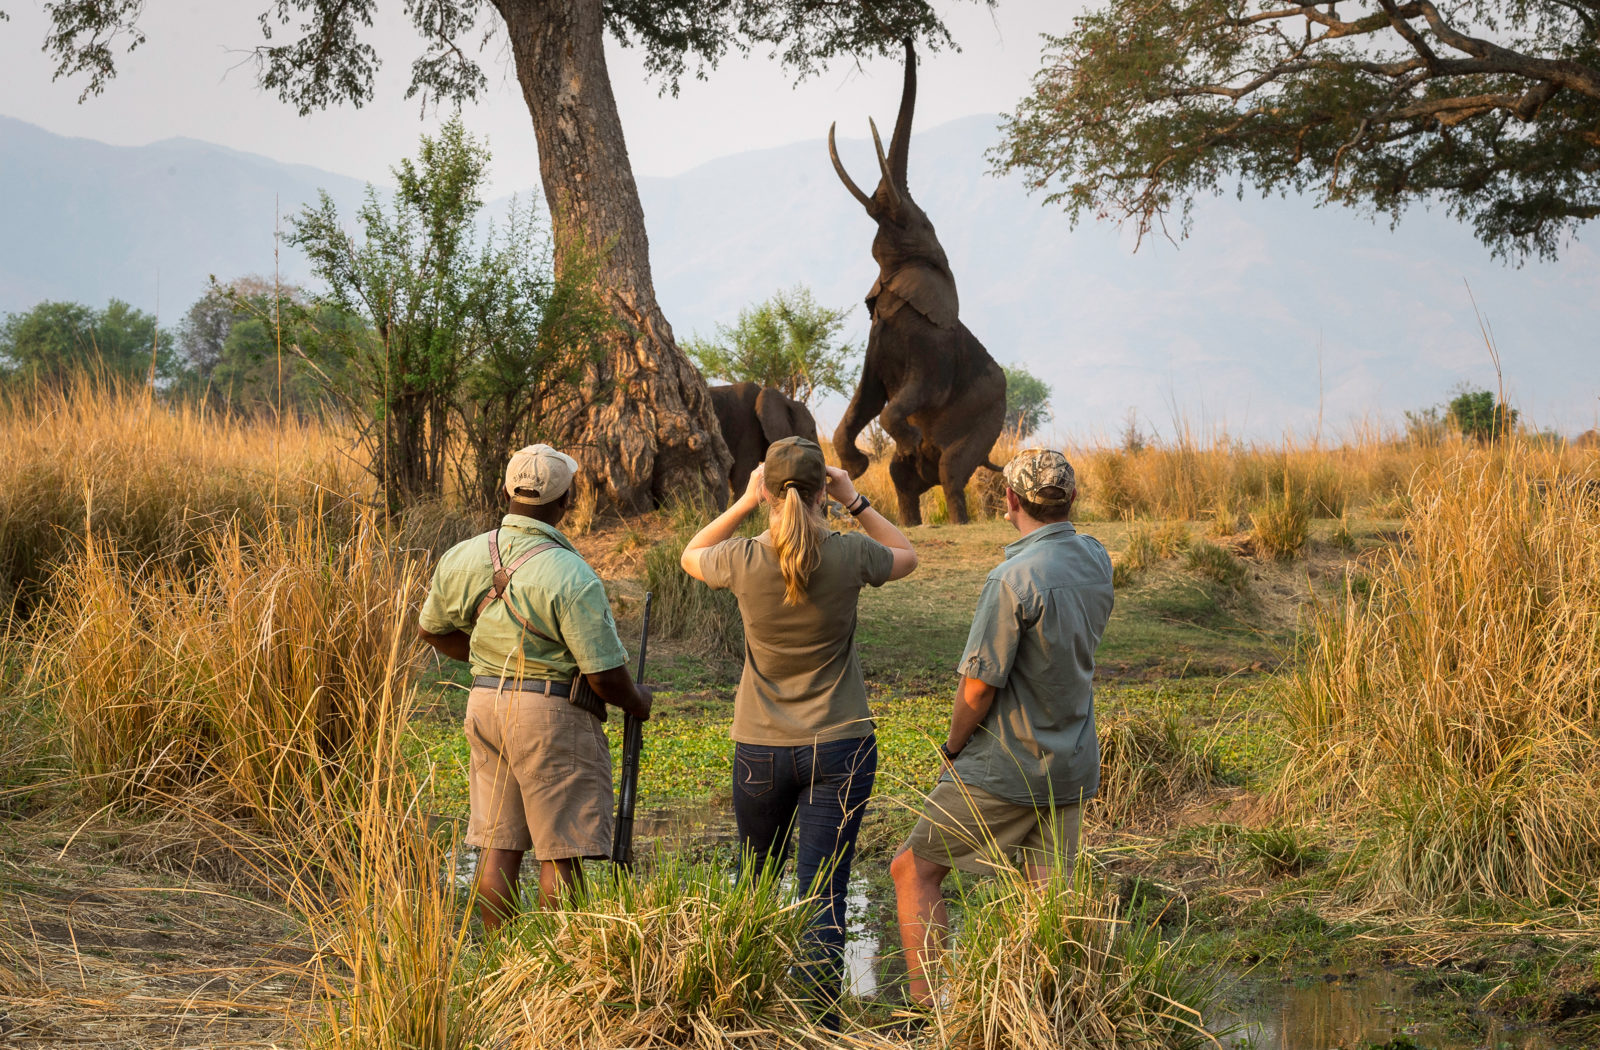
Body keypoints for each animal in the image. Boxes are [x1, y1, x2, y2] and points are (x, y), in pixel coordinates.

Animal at [832, 38, 1004, 528]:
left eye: (921, 221)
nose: (906, 37)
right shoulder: (875, 339)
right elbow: (864, 399)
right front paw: (857, 464)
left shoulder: (934, 351)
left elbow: (905, 397)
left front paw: (903, 439)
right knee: (902, 479)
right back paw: (909, 517)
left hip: (988, 421)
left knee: (952, 471)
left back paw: (954, 513)